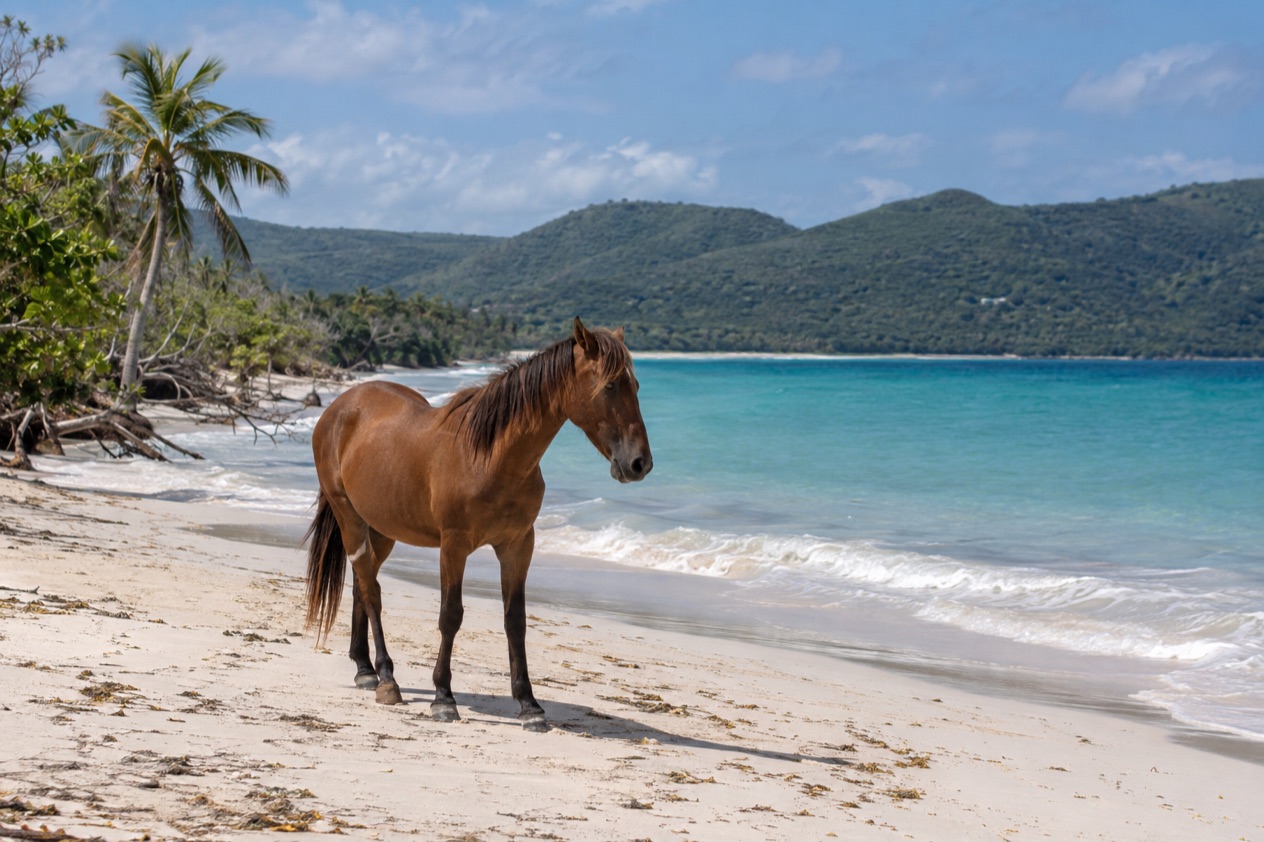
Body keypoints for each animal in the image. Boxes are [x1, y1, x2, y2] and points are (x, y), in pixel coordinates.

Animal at [303, 318, 652, 731]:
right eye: (611, 386)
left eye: (636, 386)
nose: (639, 463)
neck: (491, 457)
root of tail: (339, 408)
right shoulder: (454, 546)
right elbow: (450, 616)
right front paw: (443, 698)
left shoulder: (518, 545)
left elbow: (515, 620)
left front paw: (529, 705)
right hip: (350, 518)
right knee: (371, 592)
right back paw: (387, 680)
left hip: (384, 528)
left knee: (363, 585)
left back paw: (365, 669)